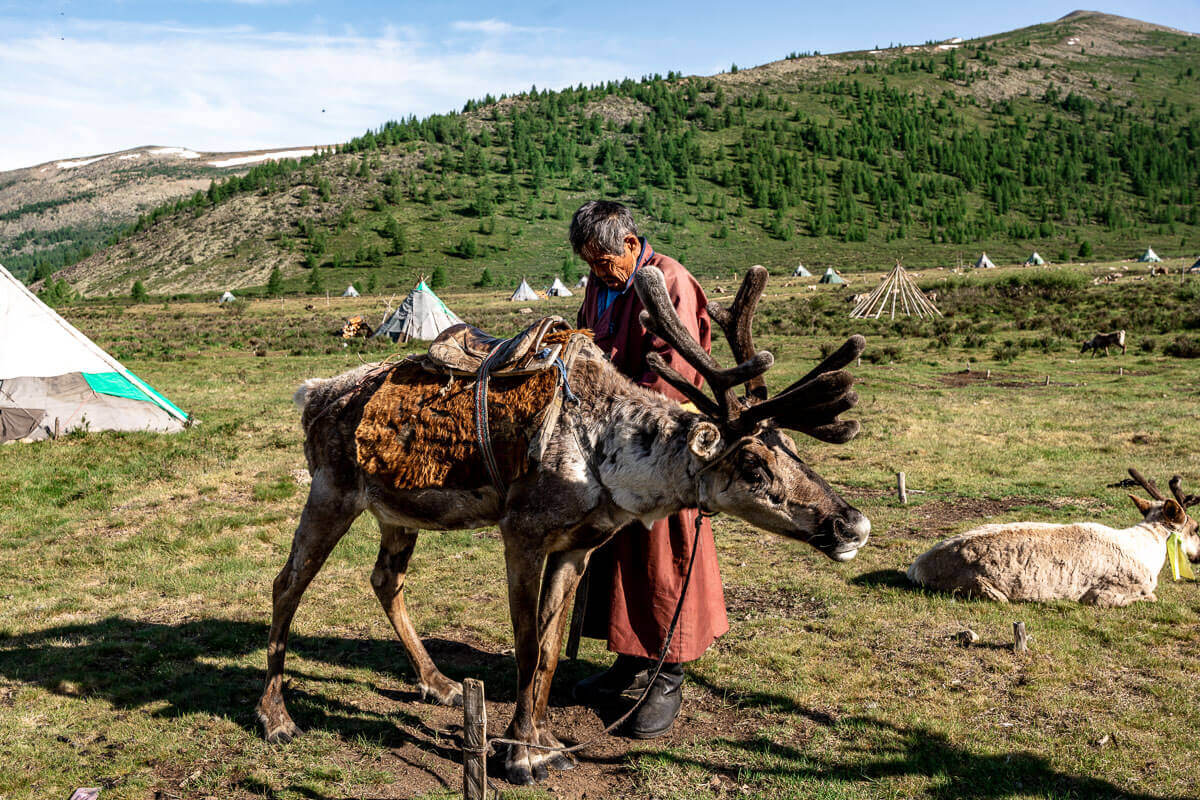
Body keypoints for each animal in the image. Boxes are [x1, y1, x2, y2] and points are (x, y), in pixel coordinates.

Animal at [255, 265, 870, 785]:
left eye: (792, 449)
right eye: (753, 464)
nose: (853, 525)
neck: (606, 456)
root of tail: (312, 393)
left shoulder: (579, 548)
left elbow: (550, 652)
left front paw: (543, 741)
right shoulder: (522, 535)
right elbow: (528, 646)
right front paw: (521, 754)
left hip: (397, 510)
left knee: (385, 580)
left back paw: (438, 683)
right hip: (332, 491)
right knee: (287, 583)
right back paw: (276, 716)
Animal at [907, 469, 1199, 607]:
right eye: (1196, 527)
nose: (1197, 556)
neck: (1149, 552)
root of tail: (916, 567)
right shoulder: (1103, 595)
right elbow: (1151, 597)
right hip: (978, 587)